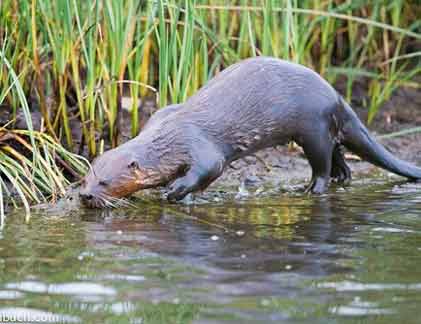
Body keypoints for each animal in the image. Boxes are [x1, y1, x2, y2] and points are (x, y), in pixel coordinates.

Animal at [79, 56, 420, 208]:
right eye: (85, 177)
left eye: (105, 182)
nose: (84, 195)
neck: (168, 138)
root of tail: (337, 96)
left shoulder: (198, 145)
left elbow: (208, 169)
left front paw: (176, 190)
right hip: (323, 129)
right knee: (339, 154)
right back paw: (343, 177)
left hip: (313, 127)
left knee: (321, 164)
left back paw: (313, 189)